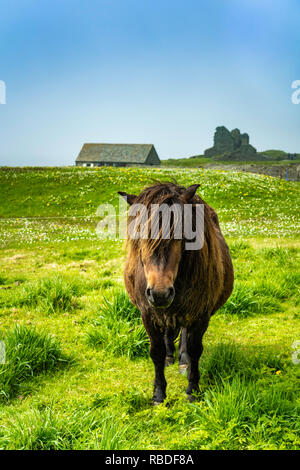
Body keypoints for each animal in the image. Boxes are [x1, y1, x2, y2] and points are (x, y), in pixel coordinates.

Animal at [119, 182, 234, 402]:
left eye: (182, 236)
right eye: (140, 236)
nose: (160, 293)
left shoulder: (200, 315)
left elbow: (195, 349)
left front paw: (192, 389)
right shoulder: (148, 314)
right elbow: (155, 351)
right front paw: (158, 393)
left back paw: (183, 359)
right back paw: (170, 356)